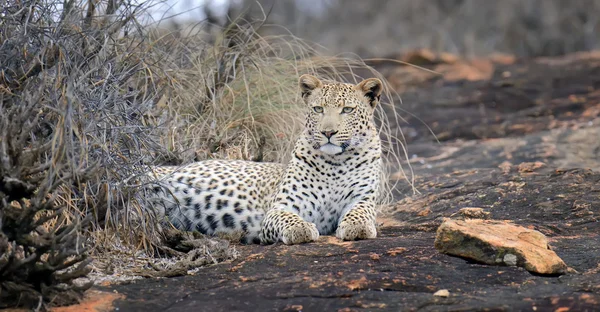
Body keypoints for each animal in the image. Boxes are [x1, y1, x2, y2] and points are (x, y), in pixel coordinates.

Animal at [143, 74, 382, 245]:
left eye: (348, 110)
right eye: (318, 109)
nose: (328, 132)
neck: (335, 163)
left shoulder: (363, 198)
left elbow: (359, 213)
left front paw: (358, 228)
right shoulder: (281, 207)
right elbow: (287, 218)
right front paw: (300, 229)